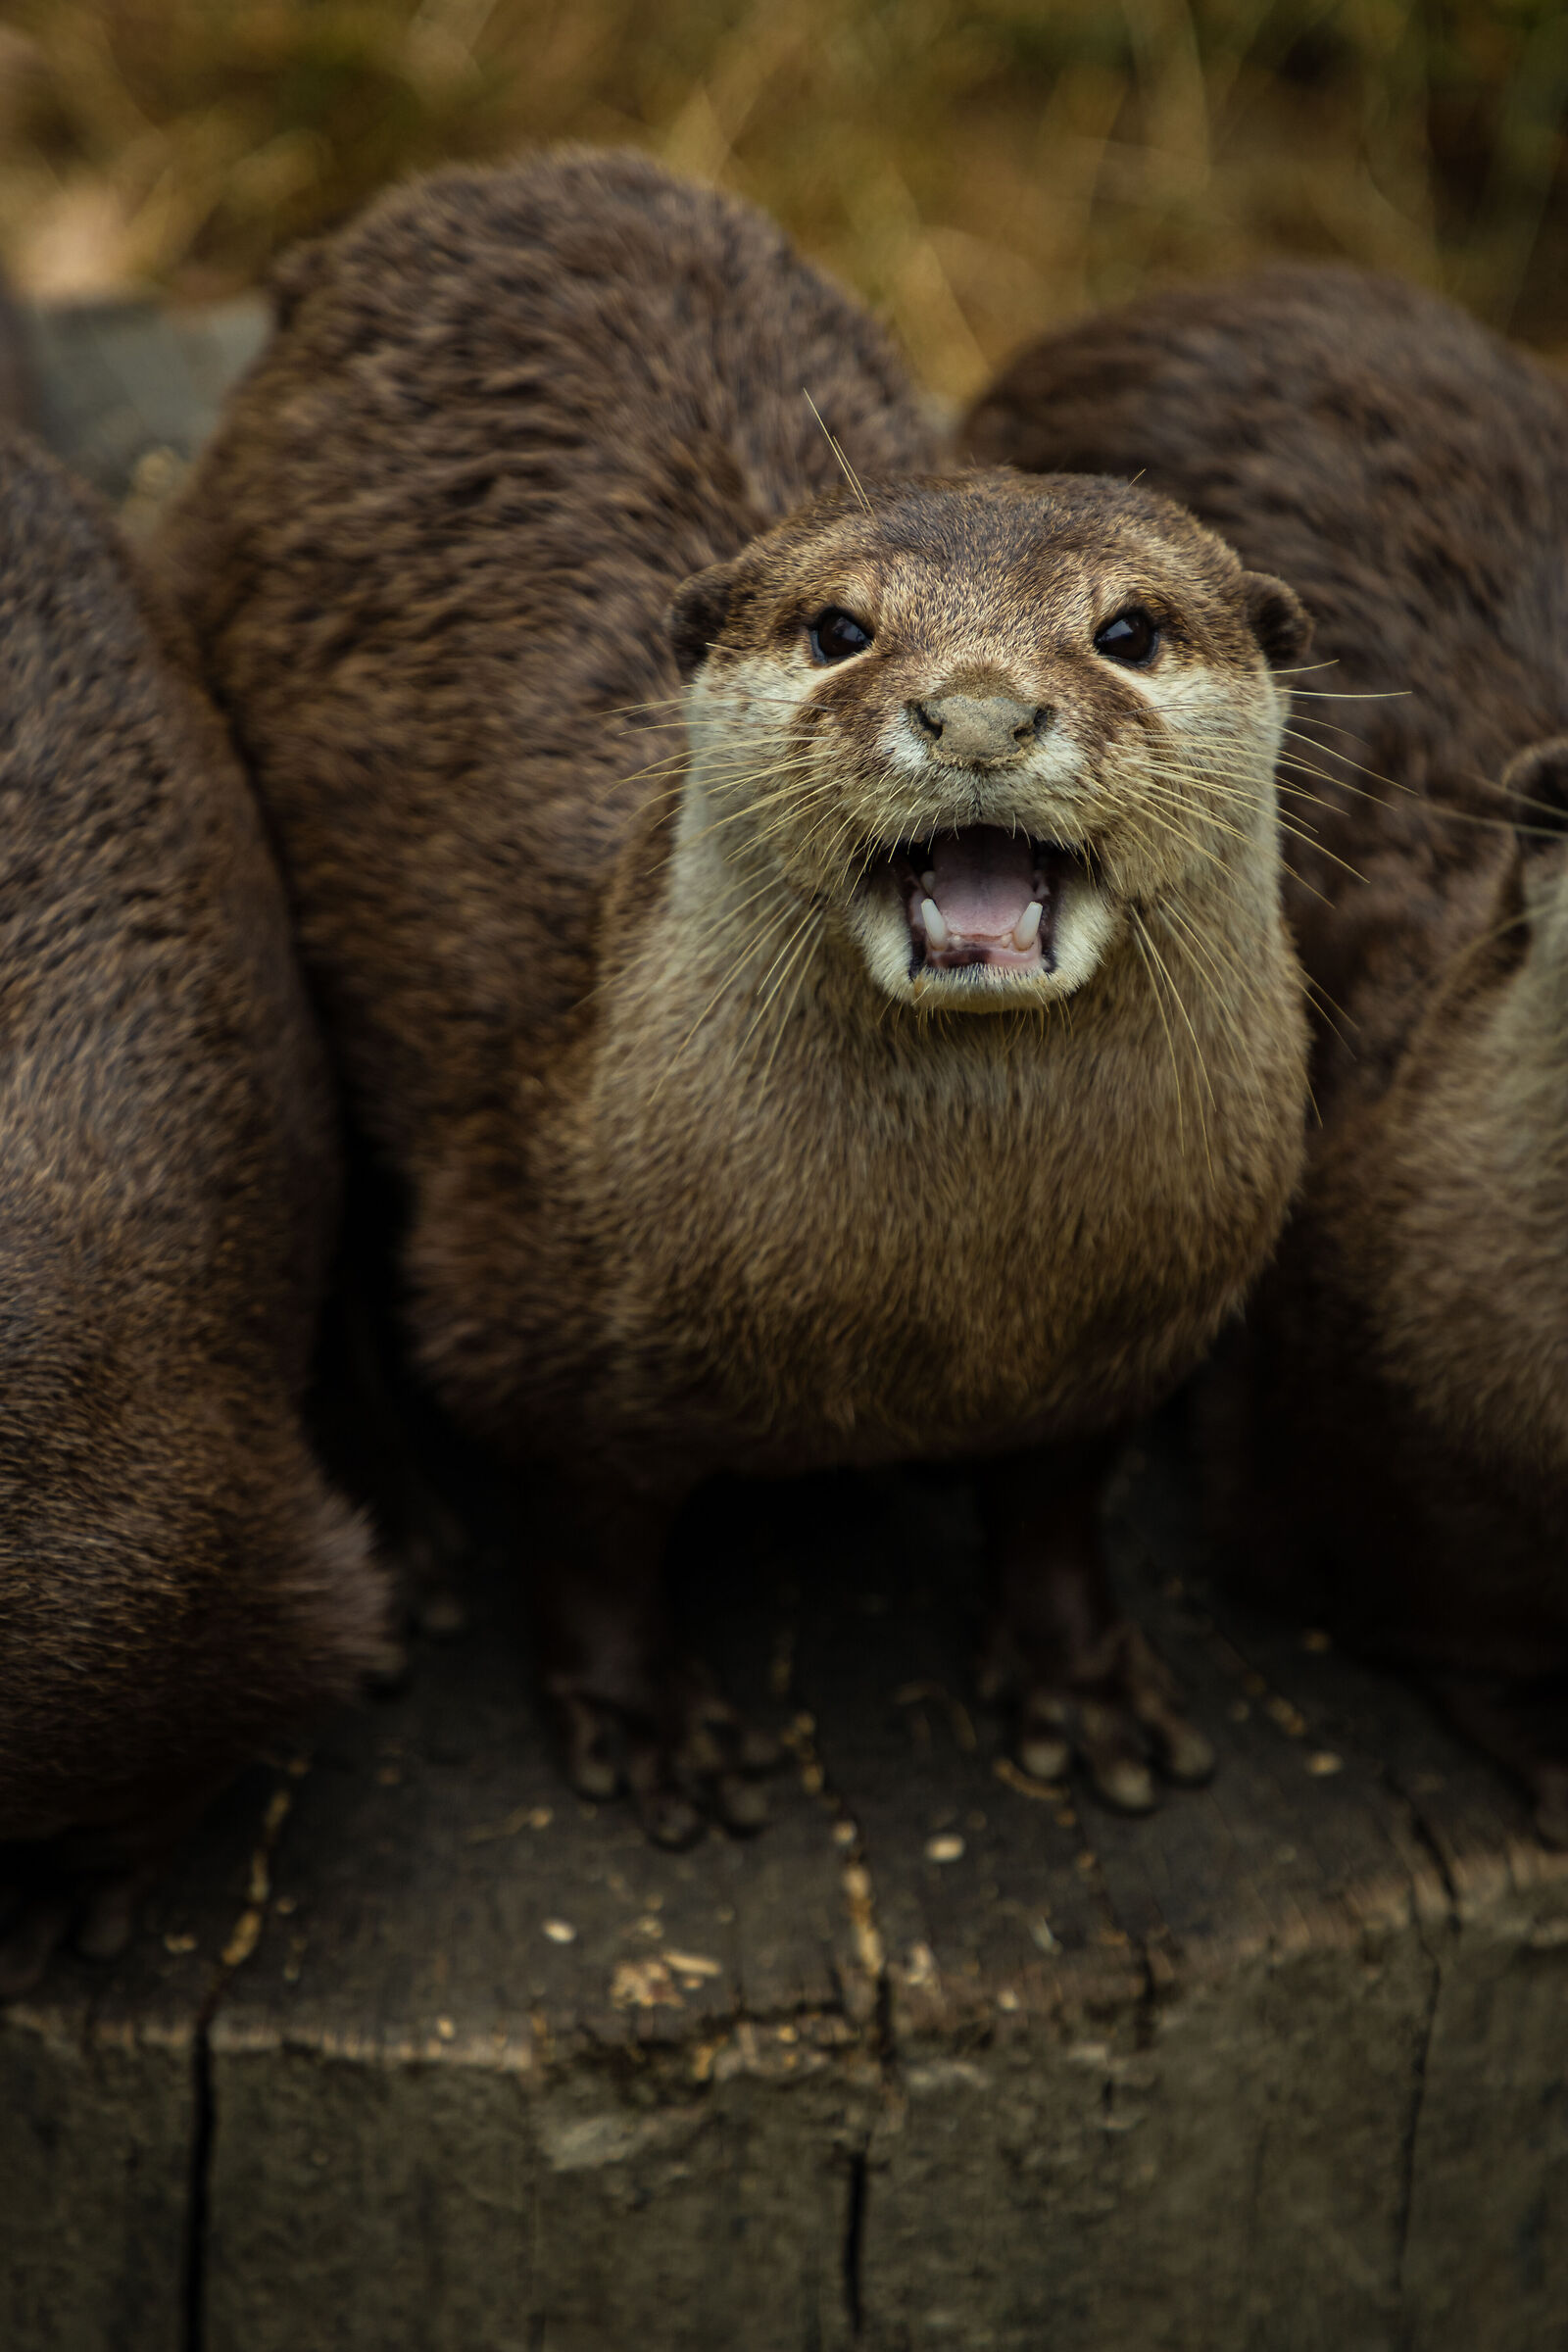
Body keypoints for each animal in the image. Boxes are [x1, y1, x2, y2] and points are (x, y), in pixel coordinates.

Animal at [157, 148, 1310, 1843]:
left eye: (1127, 629)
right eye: (841, 627)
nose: (977, 710)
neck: (950, 1305)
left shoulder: (1146, 1323)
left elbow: (1055, 1501)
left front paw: (1081, 1680)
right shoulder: (536, 1312)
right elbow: (592, 1536)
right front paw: (648, 1721)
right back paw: (402, 1535)